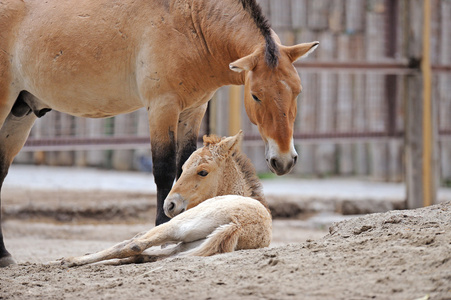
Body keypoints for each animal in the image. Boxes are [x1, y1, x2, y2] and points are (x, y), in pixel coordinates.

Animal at [60, 132, 272, 268]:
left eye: (203, 172)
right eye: (183, 168)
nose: (170, 205)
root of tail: (238, 224)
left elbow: (132, 242)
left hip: (178, 226)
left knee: (133, 246)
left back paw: (70, 260)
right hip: (184, 246)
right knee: (141, 254)